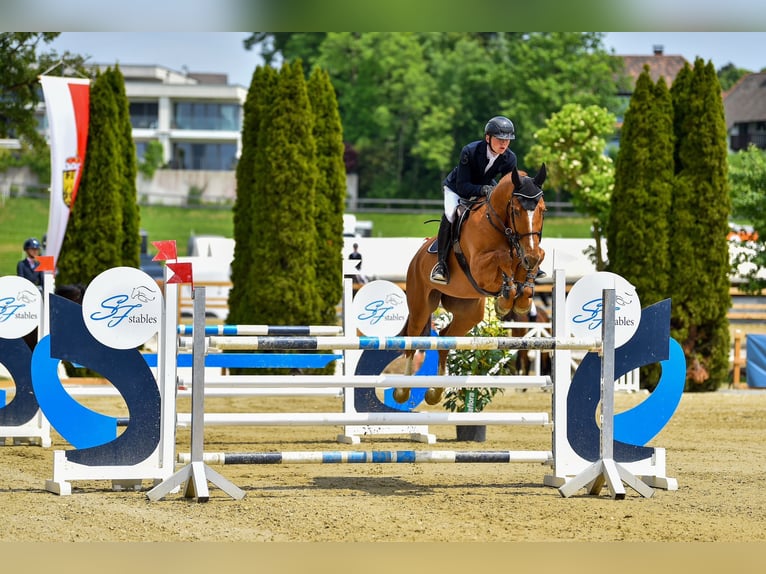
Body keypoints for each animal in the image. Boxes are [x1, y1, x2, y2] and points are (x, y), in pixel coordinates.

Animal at [392, 166, 548, 408]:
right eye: (516, 210)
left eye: (543, 210)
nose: (528, 257)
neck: (500, 226)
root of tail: (417, 256)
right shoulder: (479, 268)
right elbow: (503, 257)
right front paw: (505, 299)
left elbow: (536, 257)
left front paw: (521, 296)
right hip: (420, 305)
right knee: (413, 338)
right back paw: (403, 390)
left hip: (469, 312)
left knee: (445, 338)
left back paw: (435, 392)